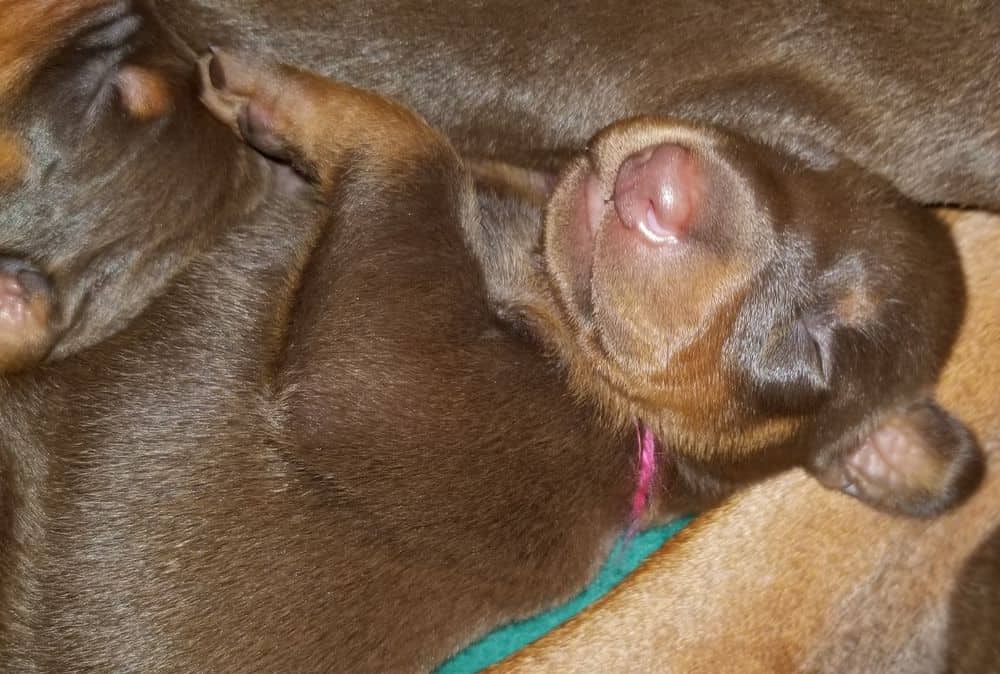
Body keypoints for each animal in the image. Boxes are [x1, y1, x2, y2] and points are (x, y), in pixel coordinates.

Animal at [199, 53, 980, 516]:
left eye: (815, 345)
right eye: (794, 152)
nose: (663, 188)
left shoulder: (371, 384)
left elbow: (415, 144)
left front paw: (273, 93)